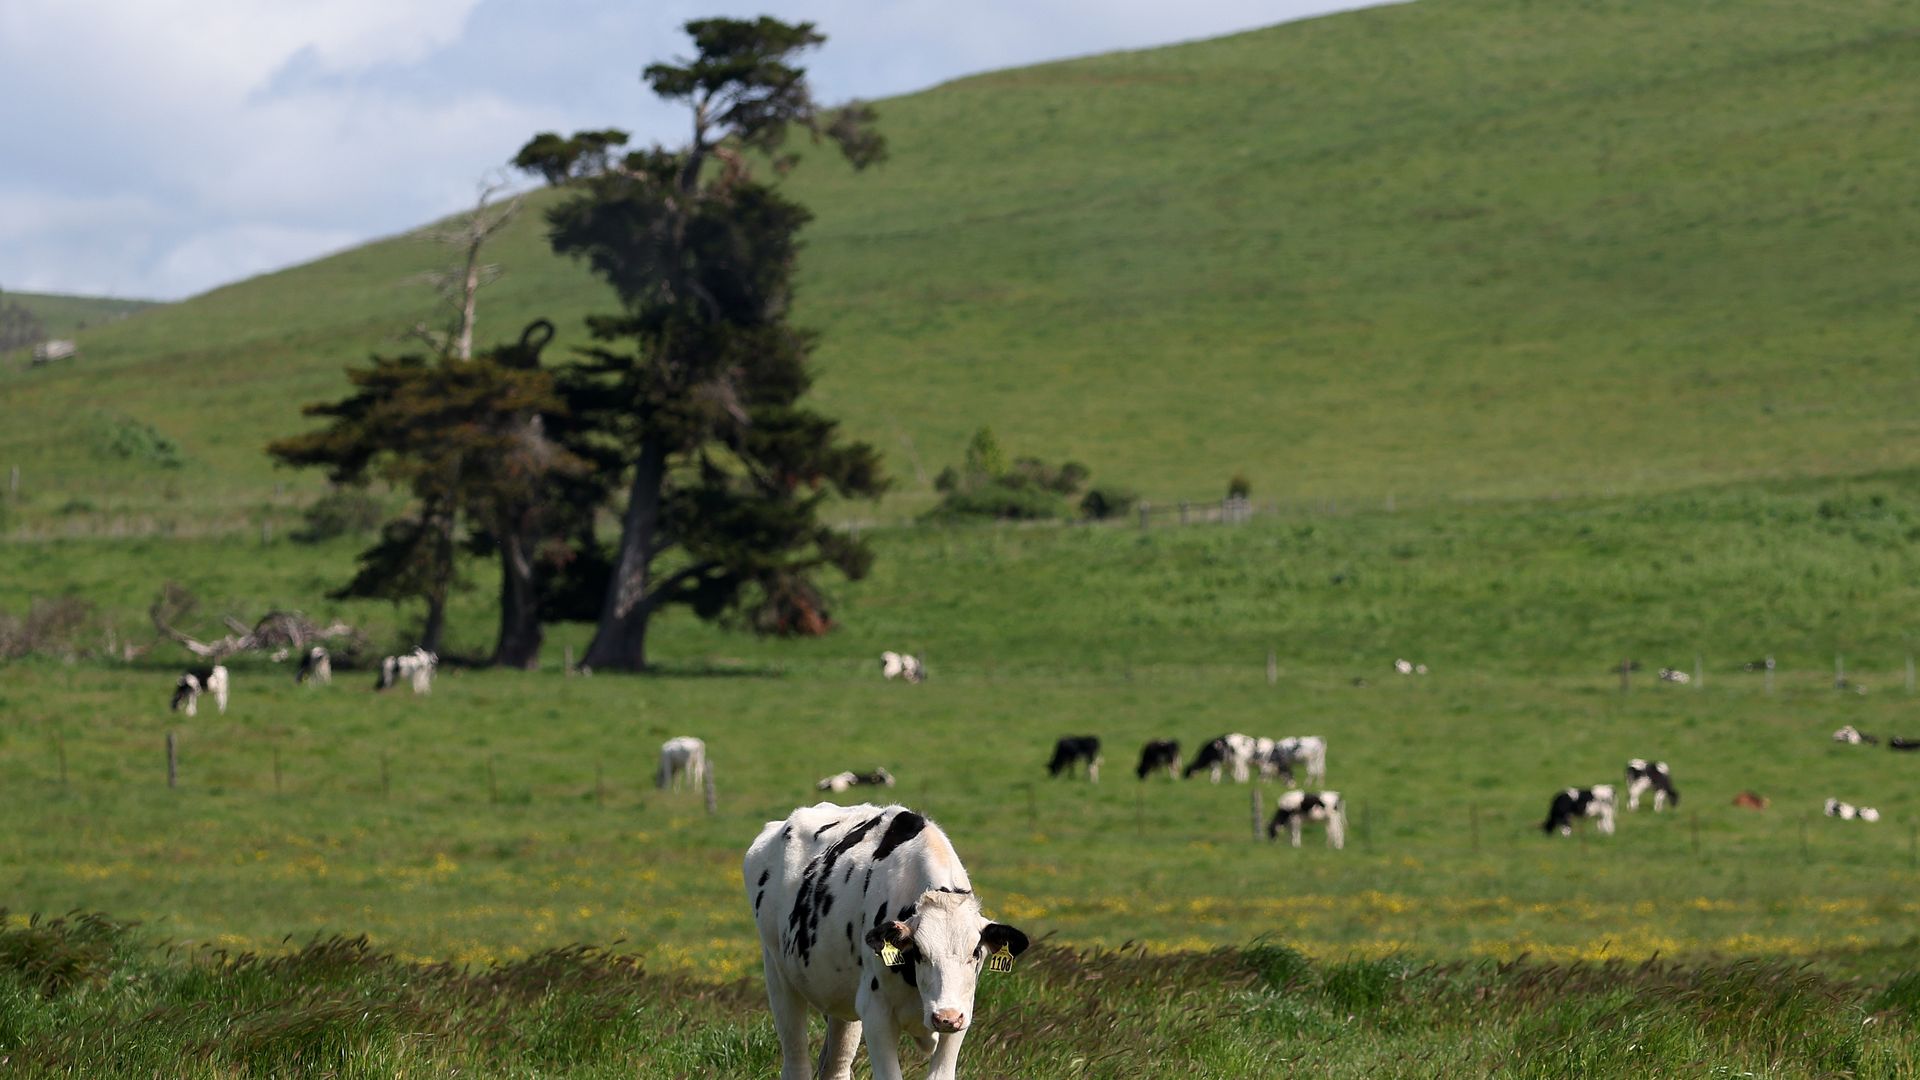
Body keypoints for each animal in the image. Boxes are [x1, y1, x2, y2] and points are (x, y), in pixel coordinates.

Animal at [741, 795, 1029, 1076]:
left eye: (976, 952)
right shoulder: (876, 1012)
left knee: (836, 1064)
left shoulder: (962, 1012)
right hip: (778, 976)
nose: (945, 1017)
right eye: (919, 952)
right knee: (796, 1060)